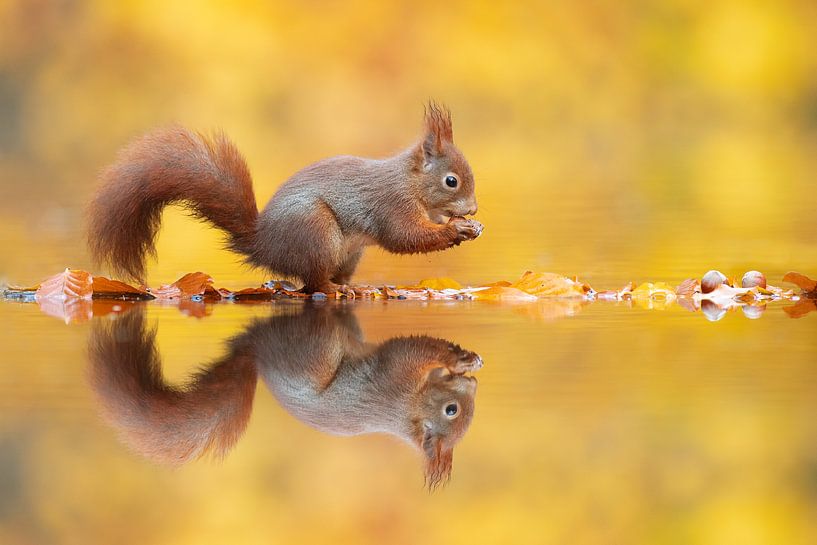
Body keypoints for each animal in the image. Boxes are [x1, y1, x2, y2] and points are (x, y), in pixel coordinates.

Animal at [87, 103, 483, 293]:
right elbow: (405, 237)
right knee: (312, 283)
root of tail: (264, 244)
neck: (409, 181)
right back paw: (336, 290)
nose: (474, 209)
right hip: (316, 232)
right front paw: (456, 230)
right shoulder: (391, 203)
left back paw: (355, 286)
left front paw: (465, 226)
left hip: (348, 253)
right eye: (451, 181)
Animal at [88, 304, 482, 488]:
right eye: (451, 410)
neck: (407, 412)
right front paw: (457, 359)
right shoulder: (398, 375)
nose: (474, 387)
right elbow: (417, 347)